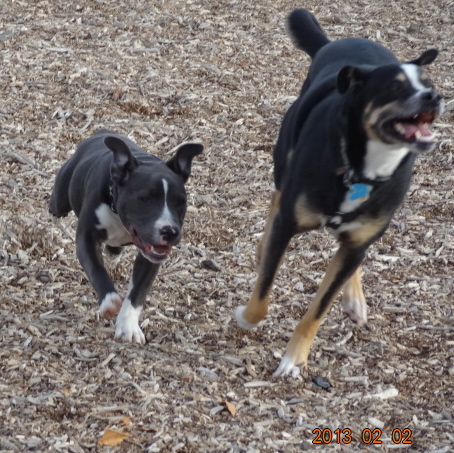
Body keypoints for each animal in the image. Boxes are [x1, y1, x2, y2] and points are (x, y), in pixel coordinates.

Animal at [236, 9, 442, 374]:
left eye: (428, 84)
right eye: (394, 86)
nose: (434, 97)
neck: (361, 168)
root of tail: (334, 44)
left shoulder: (360, 239)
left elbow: (319, 308)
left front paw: (294, 359)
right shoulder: (288, 224)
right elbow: (263, 293)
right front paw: (247, 317)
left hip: (356, 239)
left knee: (348, 255)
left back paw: (354, 300)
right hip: (284, 162)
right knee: (276, 200)